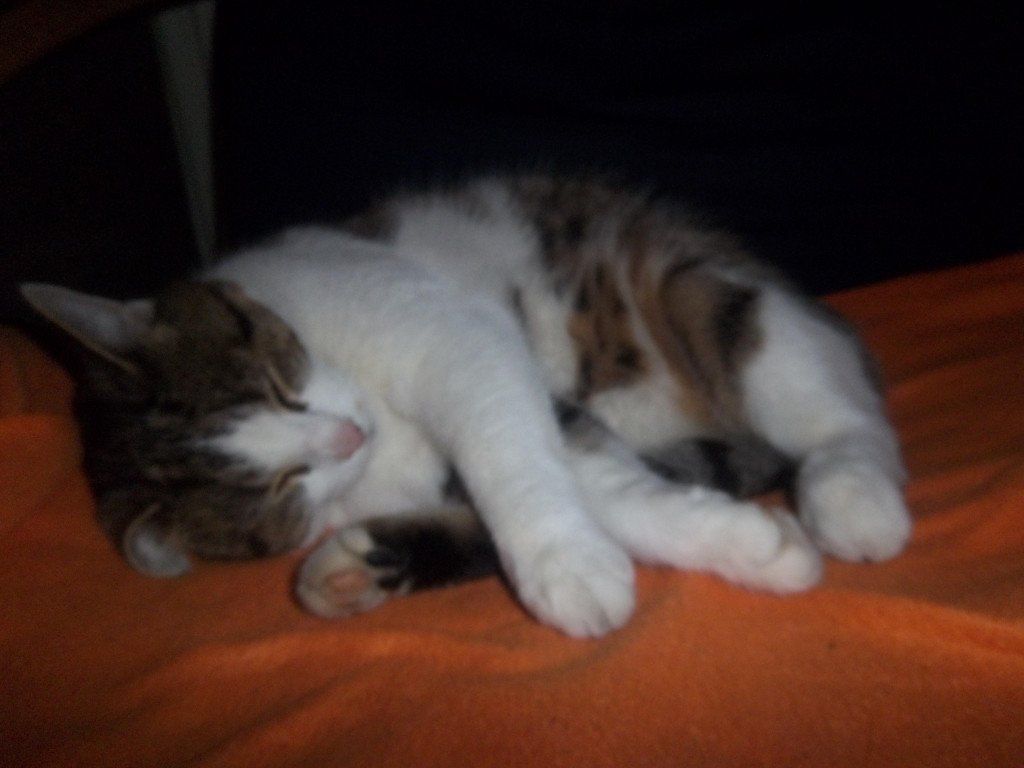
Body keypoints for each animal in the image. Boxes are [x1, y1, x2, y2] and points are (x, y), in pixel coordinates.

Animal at [21, 175, 911, 637]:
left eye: (277, 378)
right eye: (277, 490)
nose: (345, 436)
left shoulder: (454, 335)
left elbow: (509, 451)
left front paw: (562, 560)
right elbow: (605, 488)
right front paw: (729, 545)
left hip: (687, 286)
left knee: (832, 398)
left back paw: (852, 491)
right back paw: (361, 566)